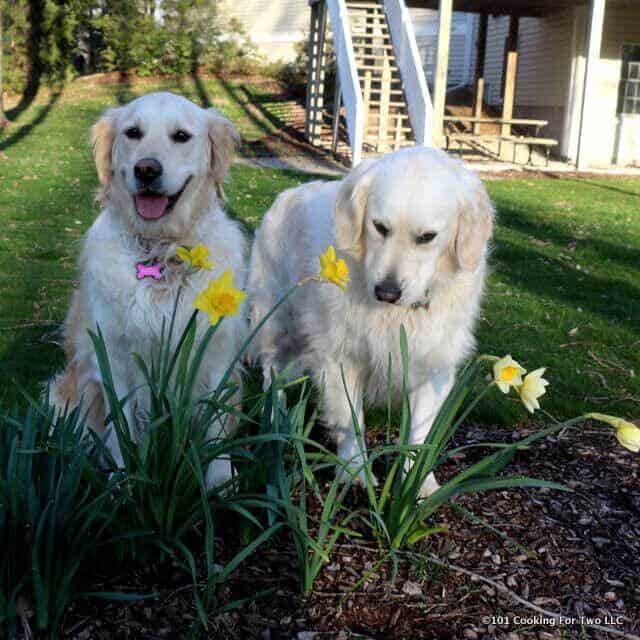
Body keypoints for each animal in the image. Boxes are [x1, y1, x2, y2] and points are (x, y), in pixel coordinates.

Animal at [47, 92, 246, 488]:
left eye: (181, 136)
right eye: (133, 133)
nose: (147, 170)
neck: (161, 252)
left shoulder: (216, 352)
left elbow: (215, 426)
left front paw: (220, 486)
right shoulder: (114, 358)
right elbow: (121, 428)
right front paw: (124, 483)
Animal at [248, 146, 492, 496]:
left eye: (427, 237)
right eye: (379, 227)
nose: (386, 292)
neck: (396, 315)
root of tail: (287, 193)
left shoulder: (434, 366)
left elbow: (419, 434)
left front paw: (418, 485)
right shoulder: (341, 358)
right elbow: (351, 422)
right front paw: (355, 473)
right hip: (277, 321)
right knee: (272, 373)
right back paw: (276, 420)